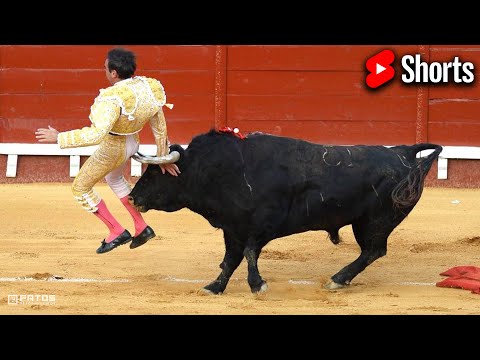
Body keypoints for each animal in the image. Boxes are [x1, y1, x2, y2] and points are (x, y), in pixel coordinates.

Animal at [128, 131, 442, 294]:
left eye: (155, 173)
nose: (132, 197)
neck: (223, 170)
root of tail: (403, 153)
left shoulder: (263, 225)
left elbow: (249, 253)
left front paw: (257, 285)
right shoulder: (233, 228)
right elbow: (230, 260)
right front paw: (215, 286)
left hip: (375, 221)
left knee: (373, 251)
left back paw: (338, 279)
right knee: (373, 252)